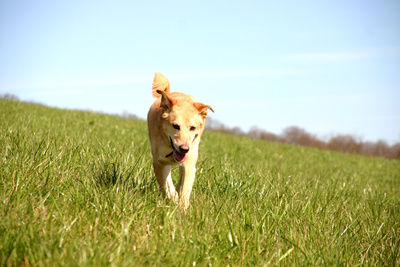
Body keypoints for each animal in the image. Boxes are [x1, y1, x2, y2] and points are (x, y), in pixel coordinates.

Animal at [148, 73, 216, 209]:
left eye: (192, 128)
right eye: (175, 126)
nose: (184, 149)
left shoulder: (189, 162)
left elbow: (185, 189)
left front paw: (182, 209)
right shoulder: (159, 163)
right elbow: (167, 186)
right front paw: (172, 199)